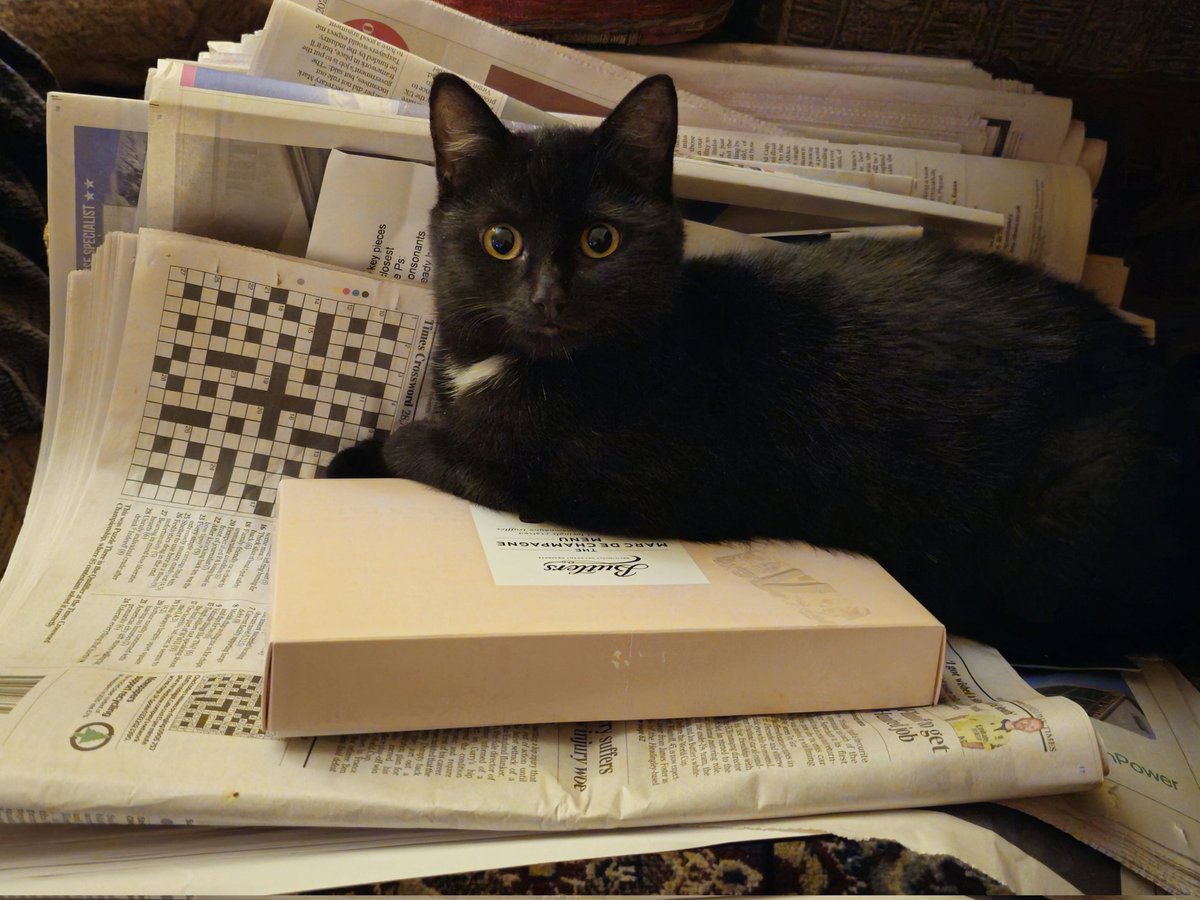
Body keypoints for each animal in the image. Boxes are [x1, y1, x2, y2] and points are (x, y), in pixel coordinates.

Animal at [326, 74, 1190, 657]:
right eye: (501, 241)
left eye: (600, 241)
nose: (548, 297)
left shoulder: (614, 487)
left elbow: (441, 446)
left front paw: (355, 456)